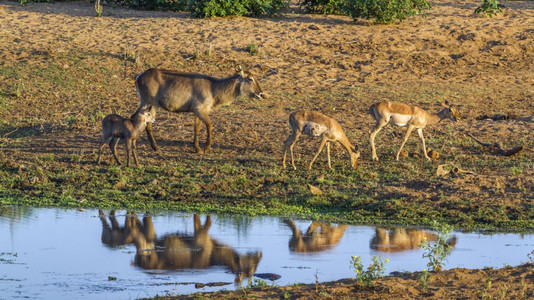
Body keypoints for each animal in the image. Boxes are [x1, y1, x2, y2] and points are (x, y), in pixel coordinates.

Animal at [136, 67, 266, 154]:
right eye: (250, 79)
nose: (261, 94)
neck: (214, 89)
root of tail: (138, 77)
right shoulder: (199, 109)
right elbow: (209, 124)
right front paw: (206, 147)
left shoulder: (198, 111)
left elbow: (197, 128)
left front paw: (197, 148)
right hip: (151, 104)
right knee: (147, 124)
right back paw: (155, 147)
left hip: (145, 103)